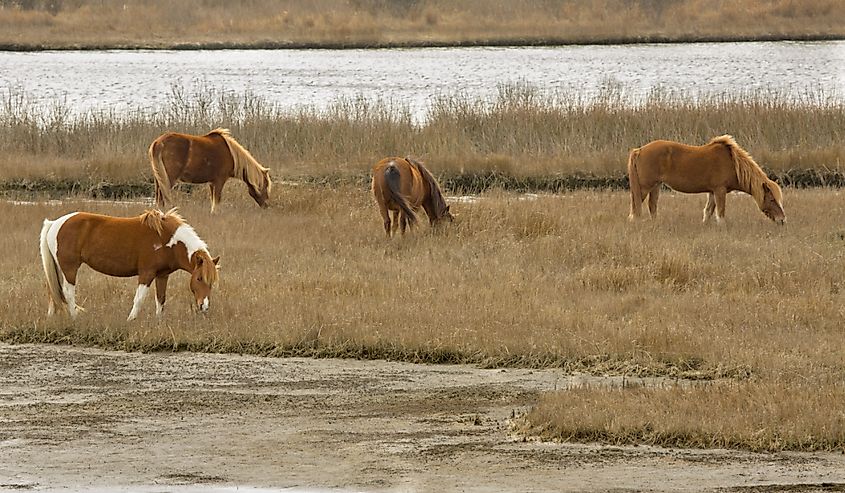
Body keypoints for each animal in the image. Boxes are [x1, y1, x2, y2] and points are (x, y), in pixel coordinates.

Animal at [40, 207, 219, 320]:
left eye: (212, 282)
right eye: (199, 279)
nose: (204, 306)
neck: (168, 240)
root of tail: (54, 223)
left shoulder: (162, 275)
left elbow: (161, 300)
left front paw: (159, 322)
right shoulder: (146, 274)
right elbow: (139, 299)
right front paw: (130, 320)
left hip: (58, 267)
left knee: (52, 290)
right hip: (69, 268)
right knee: (67, 292)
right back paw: (74, 318)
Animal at [628, 135, 784, 226]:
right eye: (772, 200)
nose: (782, 220)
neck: (732, 164)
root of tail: (639, 150)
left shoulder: (712, 192)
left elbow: (708, 211)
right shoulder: (720, 190)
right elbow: (720, 213)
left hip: (656, 186)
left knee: (652, 205)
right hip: (645, 187)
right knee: (637, 206)